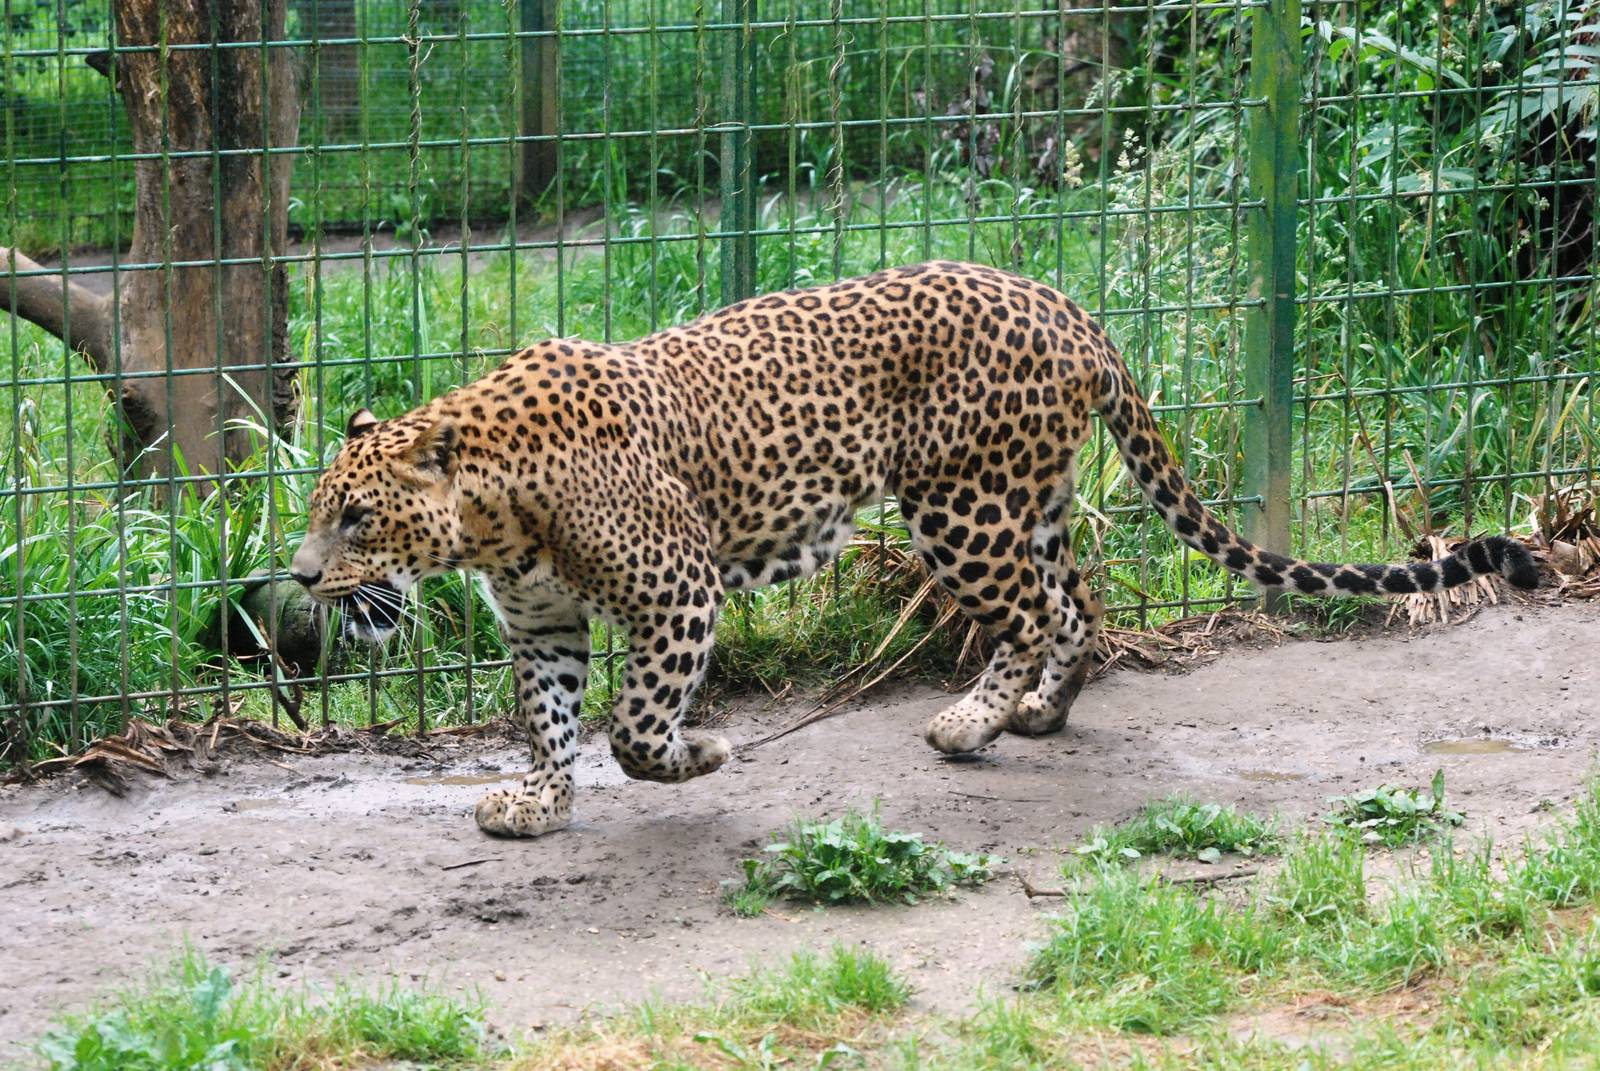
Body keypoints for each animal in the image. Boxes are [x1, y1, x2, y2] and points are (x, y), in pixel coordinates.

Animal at [289, 261, 1540, 837]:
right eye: (317, 513)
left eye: (356, 518)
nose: (297, 576)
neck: (493, 516)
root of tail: (1068, 307)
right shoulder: (544, 623)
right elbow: (551, 720)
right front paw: (539, 803)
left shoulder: (679, 591)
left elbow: (635, 728)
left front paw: (701, 754)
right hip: (1026, 503)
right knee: (1079, 608)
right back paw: (1037, 714)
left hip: (959, 511)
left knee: (1029, 615)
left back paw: (971, 722)